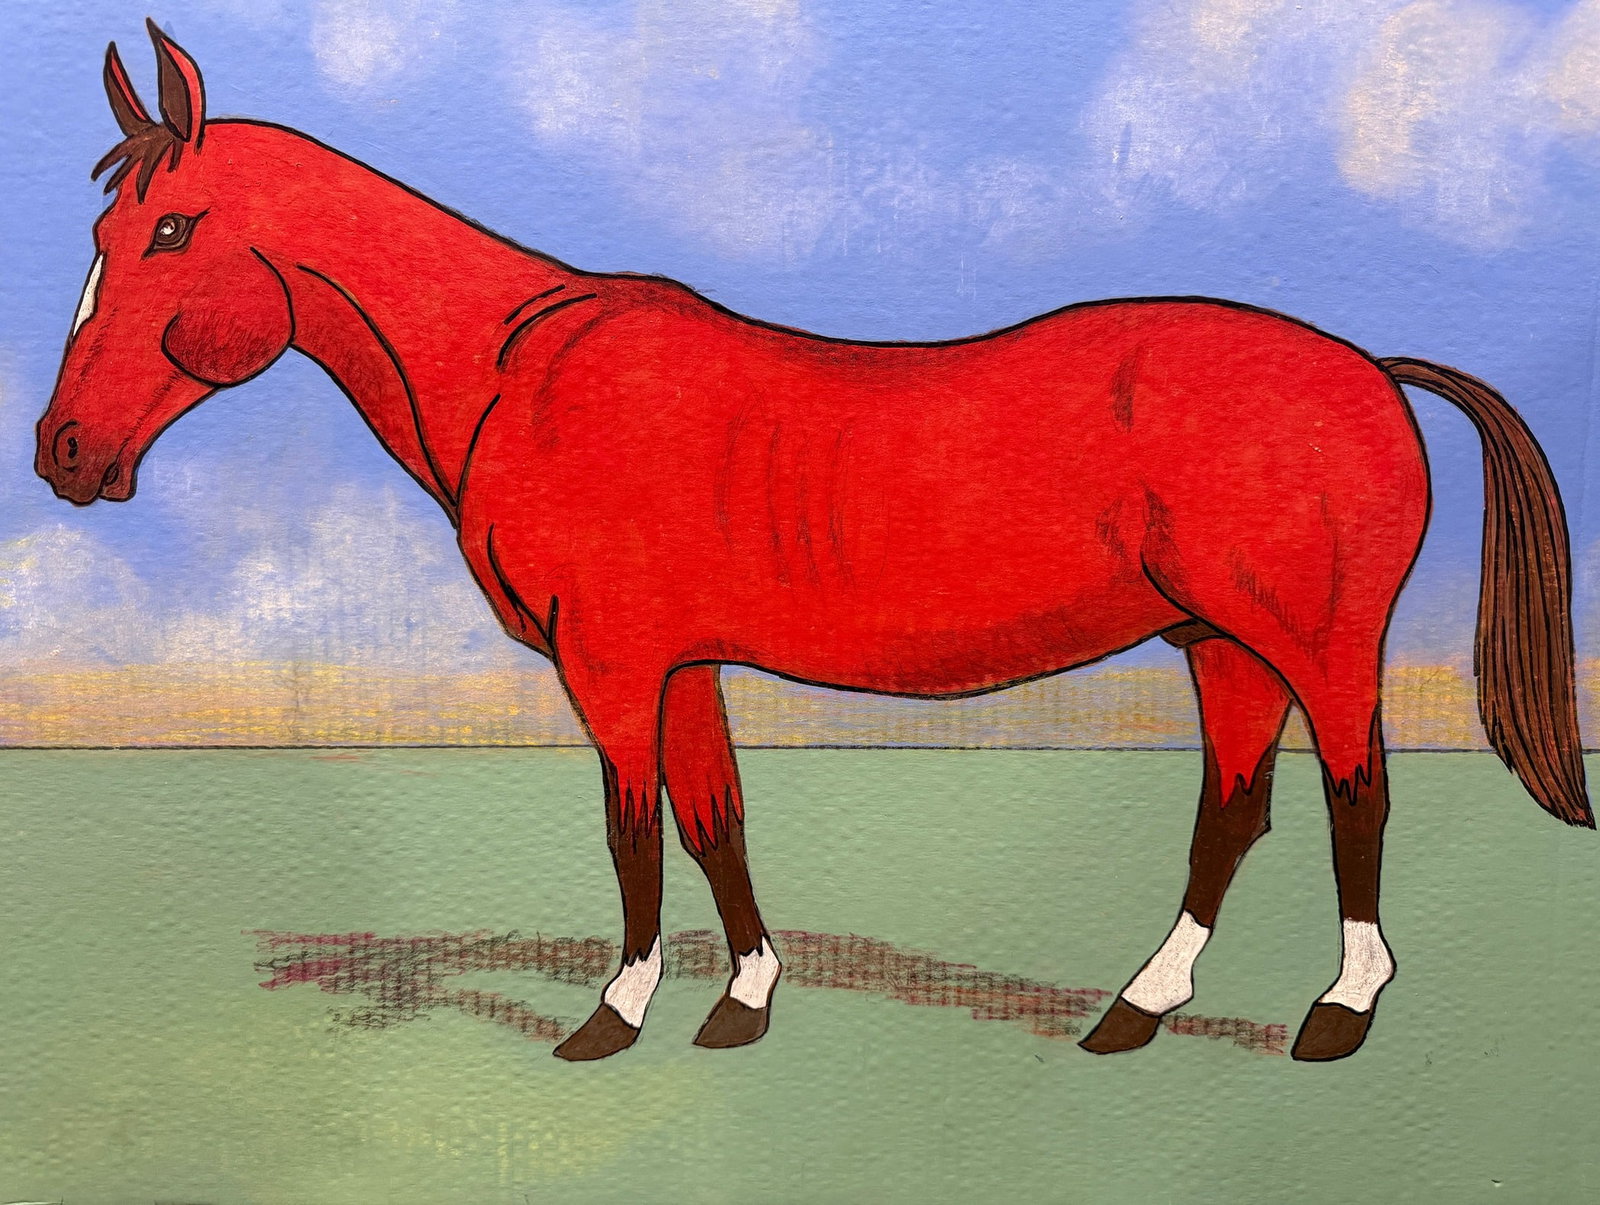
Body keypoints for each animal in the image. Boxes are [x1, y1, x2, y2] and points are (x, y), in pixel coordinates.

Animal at [36, 23, 1591, 1064]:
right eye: (106, 227)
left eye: (169, 228)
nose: (62, 454)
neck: (519, 374)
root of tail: (1370, 367)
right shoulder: (681, 667)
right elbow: (715, 821)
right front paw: (740, 1000)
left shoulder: (612, 666)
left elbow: (635, 833)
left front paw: (613, 1014)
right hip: (1219, 641)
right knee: (1233, 806)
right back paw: (1136, 1009)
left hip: (1317, 641)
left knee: (1353, 795)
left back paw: (1337, 1010)